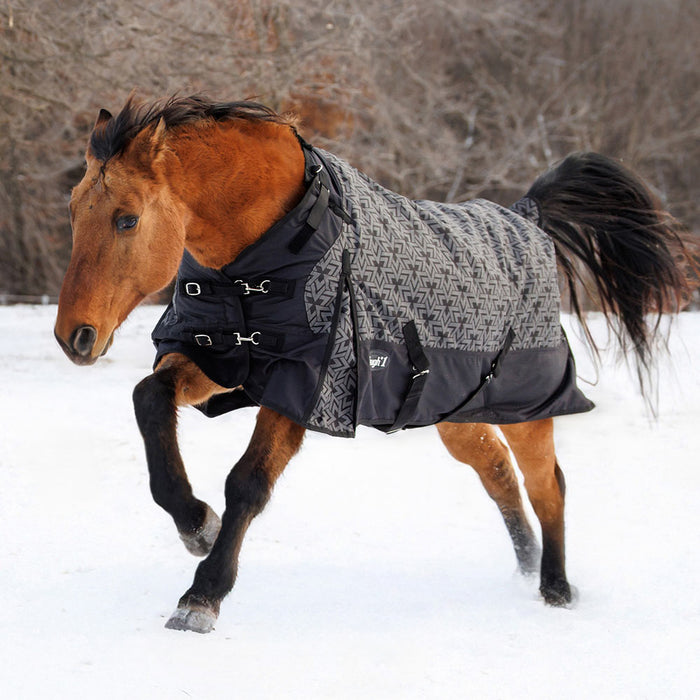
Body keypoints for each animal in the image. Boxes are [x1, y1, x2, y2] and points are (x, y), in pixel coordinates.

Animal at [54, 94, 692, 634]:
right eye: (74, 212)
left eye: (127, 218)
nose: (74, 336)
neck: (265, 258)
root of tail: (527, 219)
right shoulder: (225, 360)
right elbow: (149, 399)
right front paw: (195, 524)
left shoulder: (305, 387)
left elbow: (248, 484)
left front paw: (202, 596)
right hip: (459, 414)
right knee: (497, 474)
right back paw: (528, 565)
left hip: (528, 406)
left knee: (546, 485)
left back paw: (555, 589)